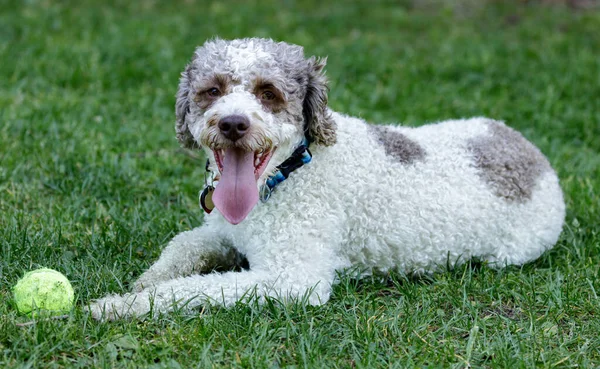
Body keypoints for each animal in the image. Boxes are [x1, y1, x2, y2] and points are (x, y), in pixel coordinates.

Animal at [88, 38, 564, 320]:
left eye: (268, 93)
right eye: (213, 90)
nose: (233, 124)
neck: (289, 174)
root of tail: (533, 154)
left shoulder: (293, 279)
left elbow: (192, 289)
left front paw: (122, 304)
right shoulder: (221, 232)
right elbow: (181, 246)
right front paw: (145, 280)